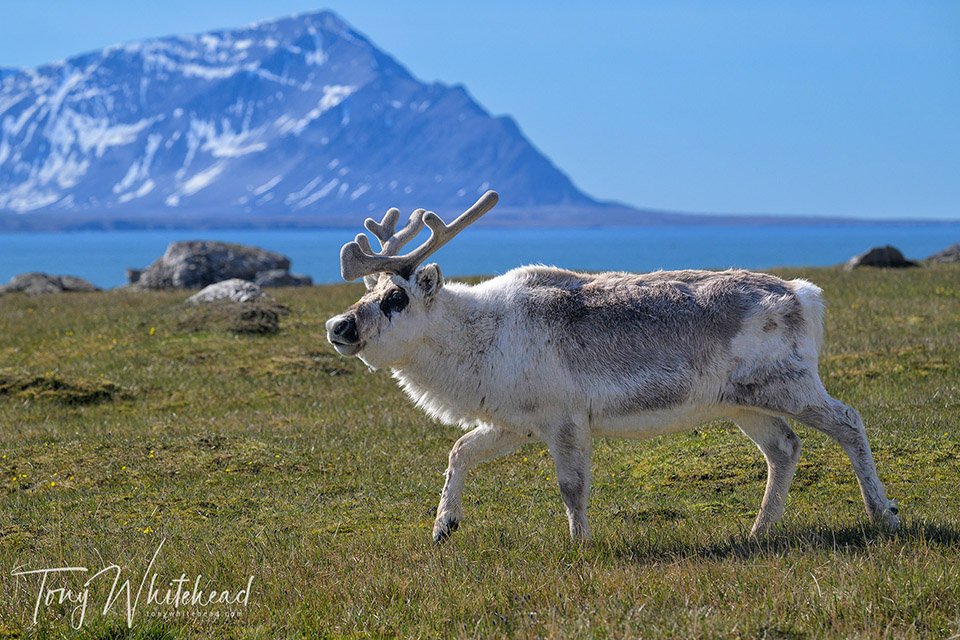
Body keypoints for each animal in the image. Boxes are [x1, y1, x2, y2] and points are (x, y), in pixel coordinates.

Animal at [325, 190, 899, 543]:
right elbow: (459, 450)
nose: (338, 325)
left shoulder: (565, 419)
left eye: (395, 298)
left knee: (848, 421)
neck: (479, 336)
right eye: (368, 292)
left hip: (790, 384)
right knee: (784, 447)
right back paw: (758, 531)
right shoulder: (515, 422)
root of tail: (804, 293)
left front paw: (579, 544)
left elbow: (571, 486)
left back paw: (884, 514)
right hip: (743, 402)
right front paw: (444, 526)